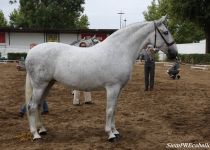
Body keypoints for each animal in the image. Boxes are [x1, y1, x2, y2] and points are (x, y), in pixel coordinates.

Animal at [25, 16, 178, 142]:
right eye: (165, 32)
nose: (174, 53)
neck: (118, 51)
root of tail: (31, 52)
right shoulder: (112, 87)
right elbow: (109, 110)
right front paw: (110, 135)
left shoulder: (119, 89)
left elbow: (114, 109)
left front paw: (115, 131)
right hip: (40, 85)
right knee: (32, 106)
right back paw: (36, 135)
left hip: (48, 84)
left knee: (39, 105)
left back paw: (42, 130)